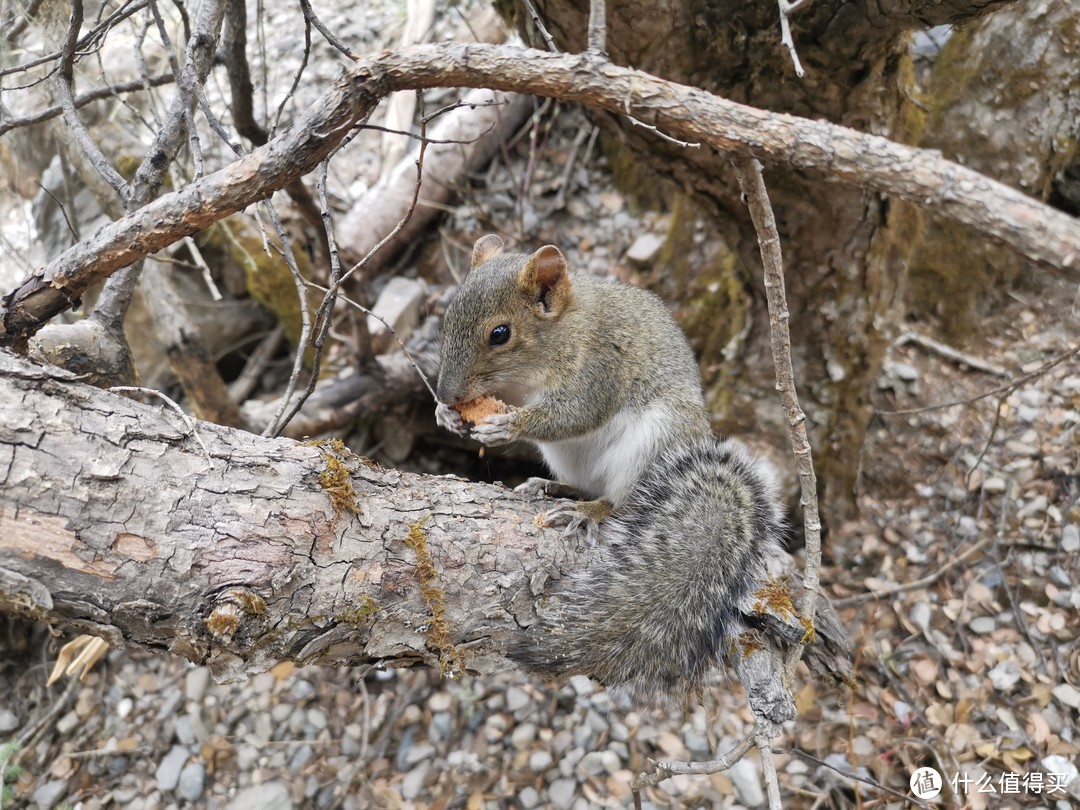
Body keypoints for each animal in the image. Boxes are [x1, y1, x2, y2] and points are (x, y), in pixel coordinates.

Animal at [438, 233, 803, 704]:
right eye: (447, 318)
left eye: (500, 334)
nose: (445, 393)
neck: (559, 335)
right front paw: (445, 415)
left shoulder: (600, 365)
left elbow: (575, 414)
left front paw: (509, 424)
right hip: (568, 459)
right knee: (583, 484)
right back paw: (552, 489)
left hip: (650, 443)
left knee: (619, 502)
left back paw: (589, 511)